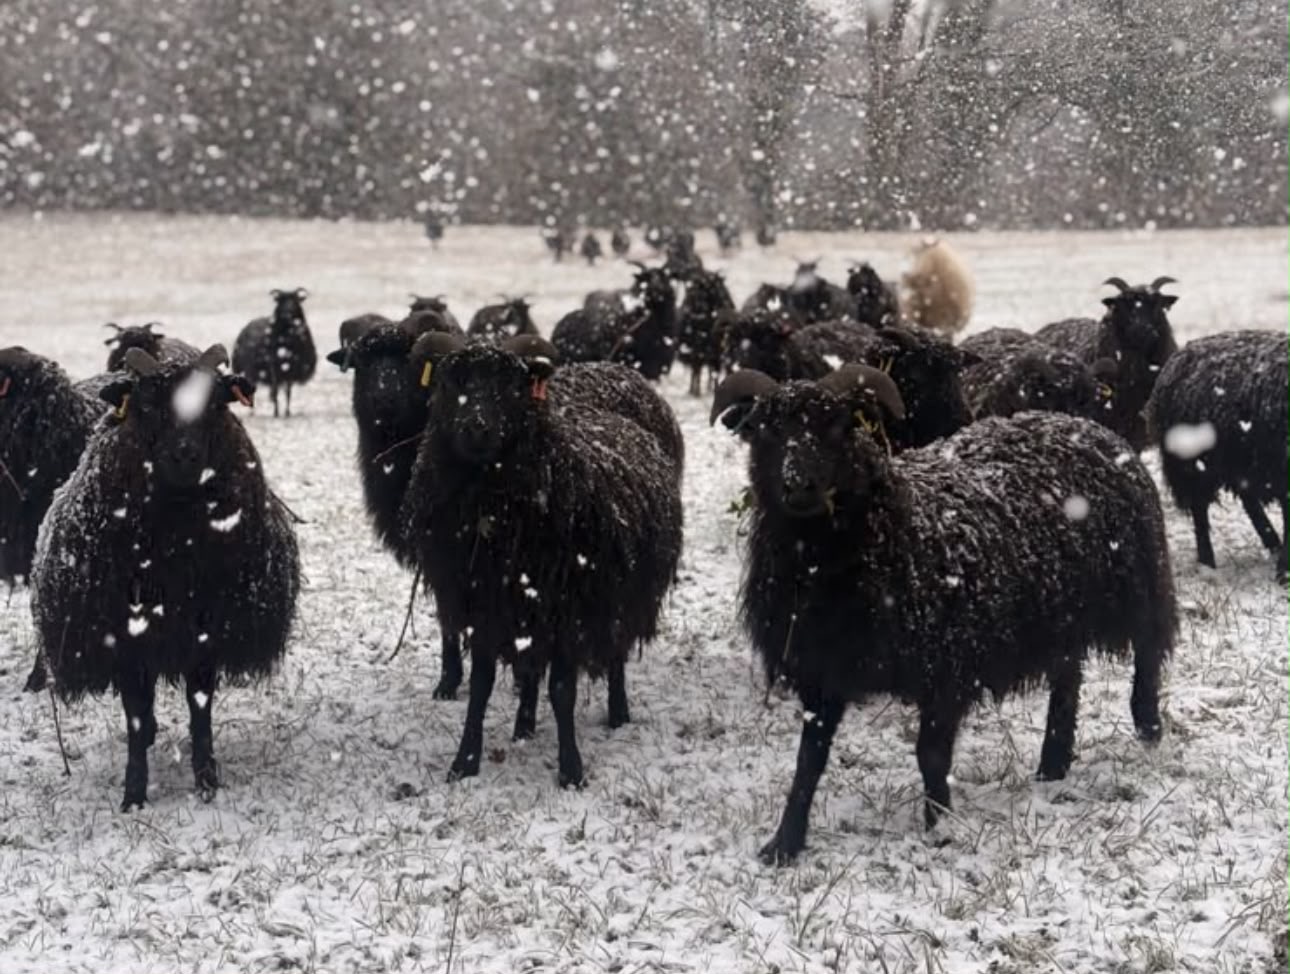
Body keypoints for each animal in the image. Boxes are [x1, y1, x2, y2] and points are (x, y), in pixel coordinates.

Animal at [30, 345, 300, 810]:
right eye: (147, 405)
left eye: (215, 405)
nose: (184, 455)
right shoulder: (124, 639)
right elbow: (136, 714)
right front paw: (134, 794)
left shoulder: (206, 631)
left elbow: (200, 706)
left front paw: (206, 779)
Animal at [231, 287, 317, 418]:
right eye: (281, 300)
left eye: (296, 300)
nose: (288, 312)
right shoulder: (274, 367)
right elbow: (276, 390)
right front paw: (276, 412)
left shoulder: (292, 369)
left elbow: (288, 392)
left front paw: (287, 412)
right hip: (250, 370)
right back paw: (252, 412)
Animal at [400, 339, 683, 787]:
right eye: (451, 382)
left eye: (511, 385)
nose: (476, 426)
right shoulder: (485, 606)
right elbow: (480, 686)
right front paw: (464, 762)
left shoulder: (567, 610)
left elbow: (563, 692)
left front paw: (571, 770)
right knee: (531, 670)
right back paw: (524, 726)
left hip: (618, 599)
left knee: (616, 654)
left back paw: (618, 712)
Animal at [712, 371, 1176, 863]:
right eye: (764, 430)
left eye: (839, 427)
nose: (799, 486)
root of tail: (1088, 427)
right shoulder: (821, 671)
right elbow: (808, 761)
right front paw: (784, 843)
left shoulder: (947, 666)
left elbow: (930, 754)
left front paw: (942, 827)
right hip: (1059, 613)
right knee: (1067, 679)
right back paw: (1052, 765)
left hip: (1139, 584)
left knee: (1148, 652)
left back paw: (1148, 729)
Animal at [1146, 329, 1288, 579]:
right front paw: (1285, 573)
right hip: (1195, 463)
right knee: (1200, 509)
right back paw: (1207, 562)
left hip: (1241, 460)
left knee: (1248, 500)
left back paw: (1273, 545)